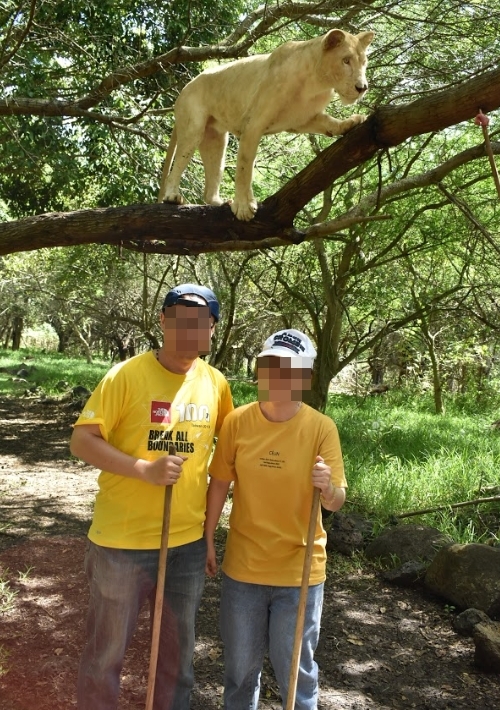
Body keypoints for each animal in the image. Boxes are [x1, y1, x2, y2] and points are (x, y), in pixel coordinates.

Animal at [158, 29, 374, 221]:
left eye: (364, 63)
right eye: (346, 61)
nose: (362, 88)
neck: (316, 83)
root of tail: (184, 90)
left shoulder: (302, 119)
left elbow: (328, 122)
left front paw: (349, 123)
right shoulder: (253, 124)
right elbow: (244, 168)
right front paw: (243, 207)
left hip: (216, 140)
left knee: (209, 191)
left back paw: (222, 202)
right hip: (193, 127)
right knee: (175, 168)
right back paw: (172, 197)